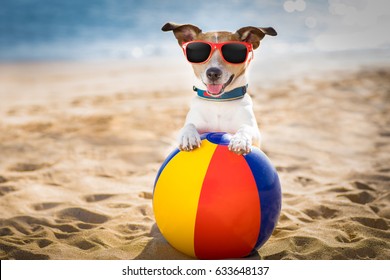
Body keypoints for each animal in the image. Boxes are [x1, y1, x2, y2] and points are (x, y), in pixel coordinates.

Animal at [162, 22, 278, 155]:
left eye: (233, 52)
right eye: (199, 52)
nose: (213, 73)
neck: (219, 101)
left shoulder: (255, 135)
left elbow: (246, 128)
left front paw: (240, 140)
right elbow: (188, 125)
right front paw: (188, 136)